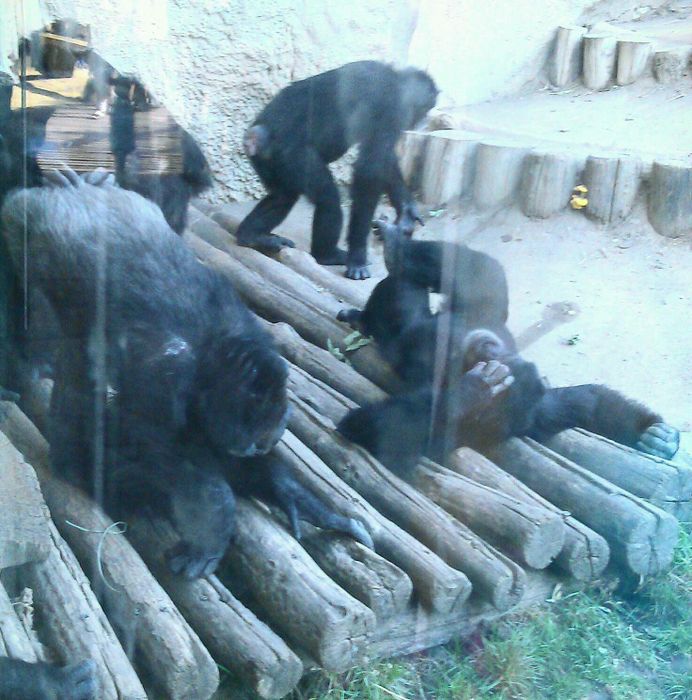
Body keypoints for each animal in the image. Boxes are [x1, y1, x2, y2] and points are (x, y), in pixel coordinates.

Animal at [1, 170, 374, 580]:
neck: (216, 354)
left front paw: (296, 498)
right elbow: (162, 451)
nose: (261, 445)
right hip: (22, 225)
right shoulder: (164, 380)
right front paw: (215, 522)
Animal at [238, 60, 438, 278]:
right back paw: (327, 254)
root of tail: (256, 136)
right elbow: (370, 170)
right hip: (294, 157)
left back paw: (251, 235)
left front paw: (407, 209)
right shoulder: (393, 108)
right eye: (425, 108)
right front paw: (357, 257)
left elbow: (384, 162)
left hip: (268, 164)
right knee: (327, 198)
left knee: (282, 196)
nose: (424, 120)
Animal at [338, 221, 680, 478]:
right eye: (497, 355)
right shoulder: (485, 317)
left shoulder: (532, 415)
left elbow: (384, 431)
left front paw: (474, 393)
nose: (490, 354)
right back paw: (387, 263)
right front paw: (655, 434)